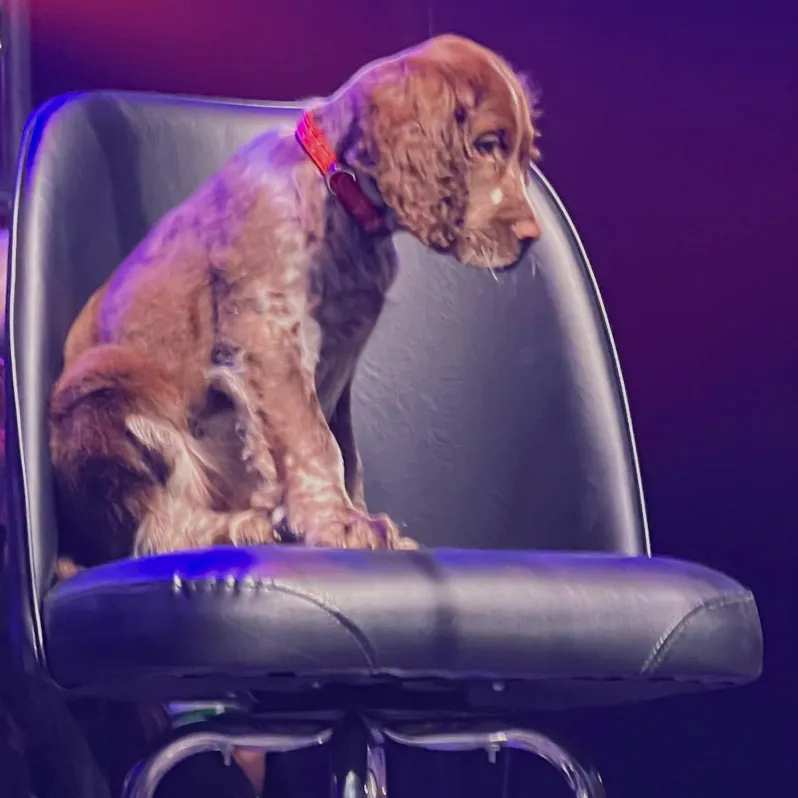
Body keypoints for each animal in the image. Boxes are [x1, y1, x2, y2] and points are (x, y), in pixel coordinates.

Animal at [50, 34, 544, 564]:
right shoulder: (269, 333)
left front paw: (354, 516)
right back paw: (235, 526)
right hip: (100, 387)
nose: (532, 238)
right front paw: (338, 522)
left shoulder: (339, 361)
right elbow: (313, 439)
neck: (339, 198)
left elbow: (345, 449)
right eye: (487, 144)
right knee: (152, 529)